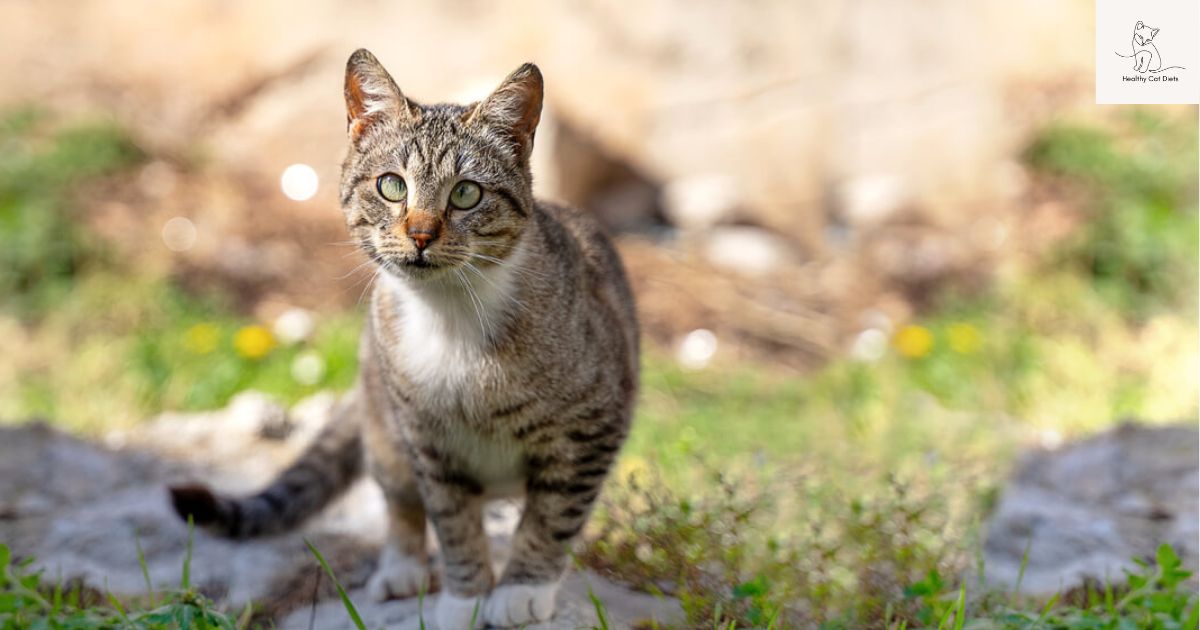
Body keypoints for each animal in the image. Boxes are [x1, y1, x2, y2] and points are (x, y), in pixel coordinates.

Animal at [171, 50, 638, 628]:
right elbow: (453, 522)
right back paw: (402, 568)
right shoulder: (428, 443)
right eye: (392, 185)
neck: (451, 318)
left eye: (466, 193)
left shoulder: (592, 429)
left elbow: (553, 516)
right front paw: (465, 598)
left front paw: (521, 589)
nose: (420, 234)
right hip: (385, 426)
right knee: (400, 501)